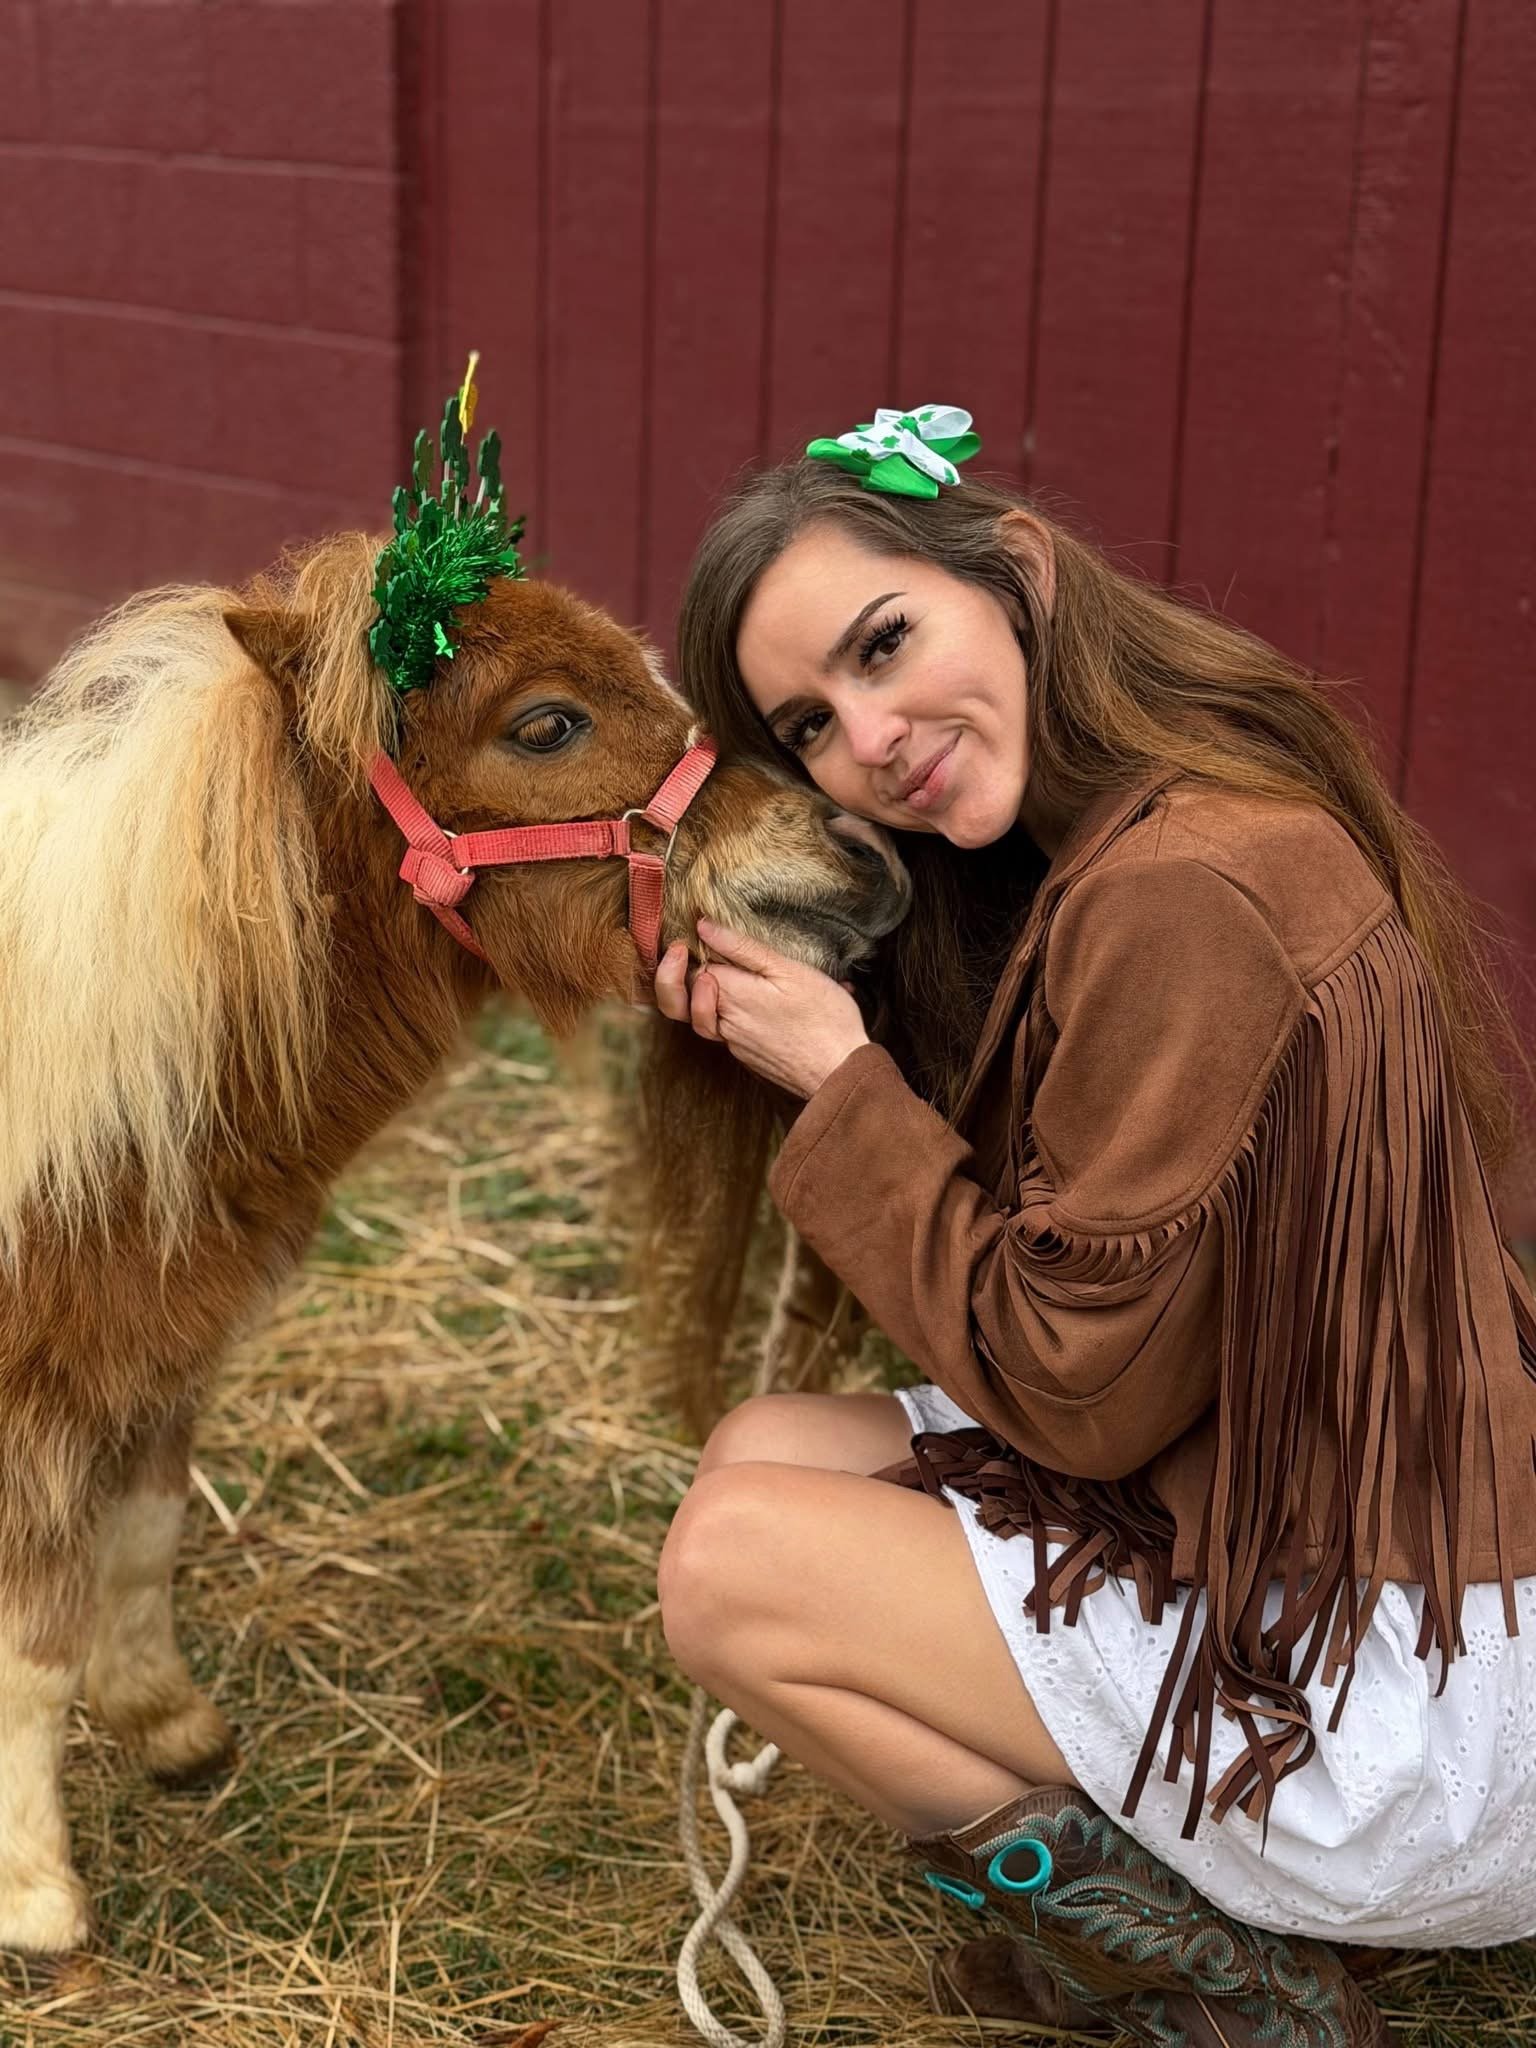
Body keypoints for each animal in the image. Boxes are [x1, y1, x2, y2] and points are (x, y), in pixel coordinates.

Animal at [0, 529, 909, 1953]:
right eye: (545, 724)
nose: (864, 857)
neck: (89, 1069)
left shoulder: (159, 1343)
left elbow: (142, 1537)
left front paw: (171, 1727)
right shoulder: (44, 1389)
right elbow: (31, 1643)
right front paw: (38, 1897)